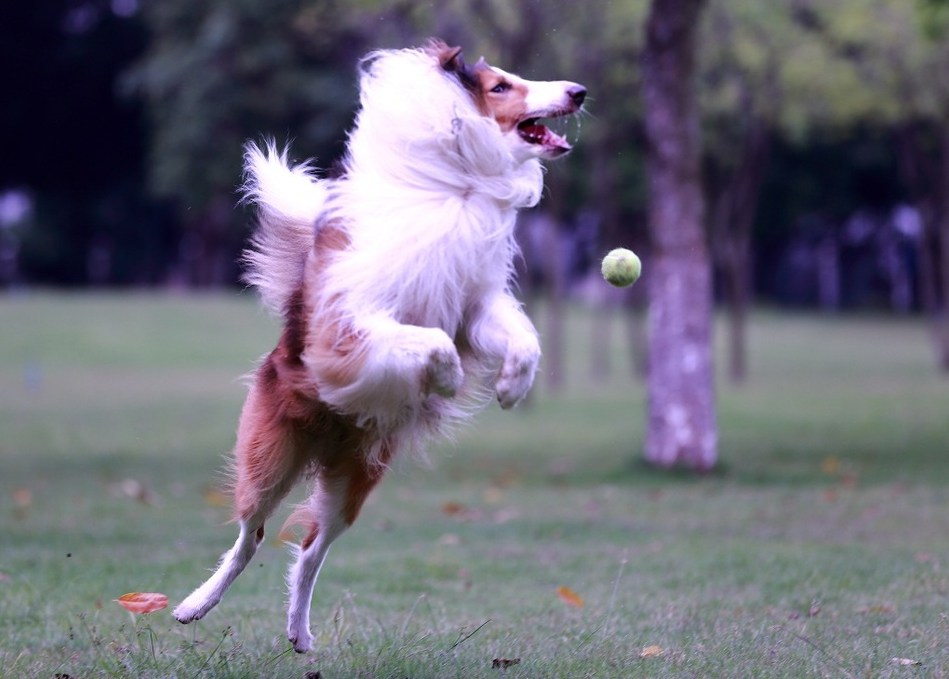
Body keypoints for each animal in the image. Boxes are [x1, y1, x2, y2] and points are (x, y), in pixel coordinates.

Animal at [173, 41, 580, 652]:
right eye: (501, 86)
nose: (579, 91)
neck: (456, 183)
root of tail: (327, 438)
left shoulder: (475, 303)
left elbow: (520, 338)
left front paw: (512, 385)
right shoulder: (350, 323)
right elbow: (432, 342)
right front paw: (448, 379)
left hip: (354, 481)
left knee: (310, 549)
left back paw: (299, 633)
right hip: (270, 458)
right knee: (250, 536)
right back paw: (195, 605)